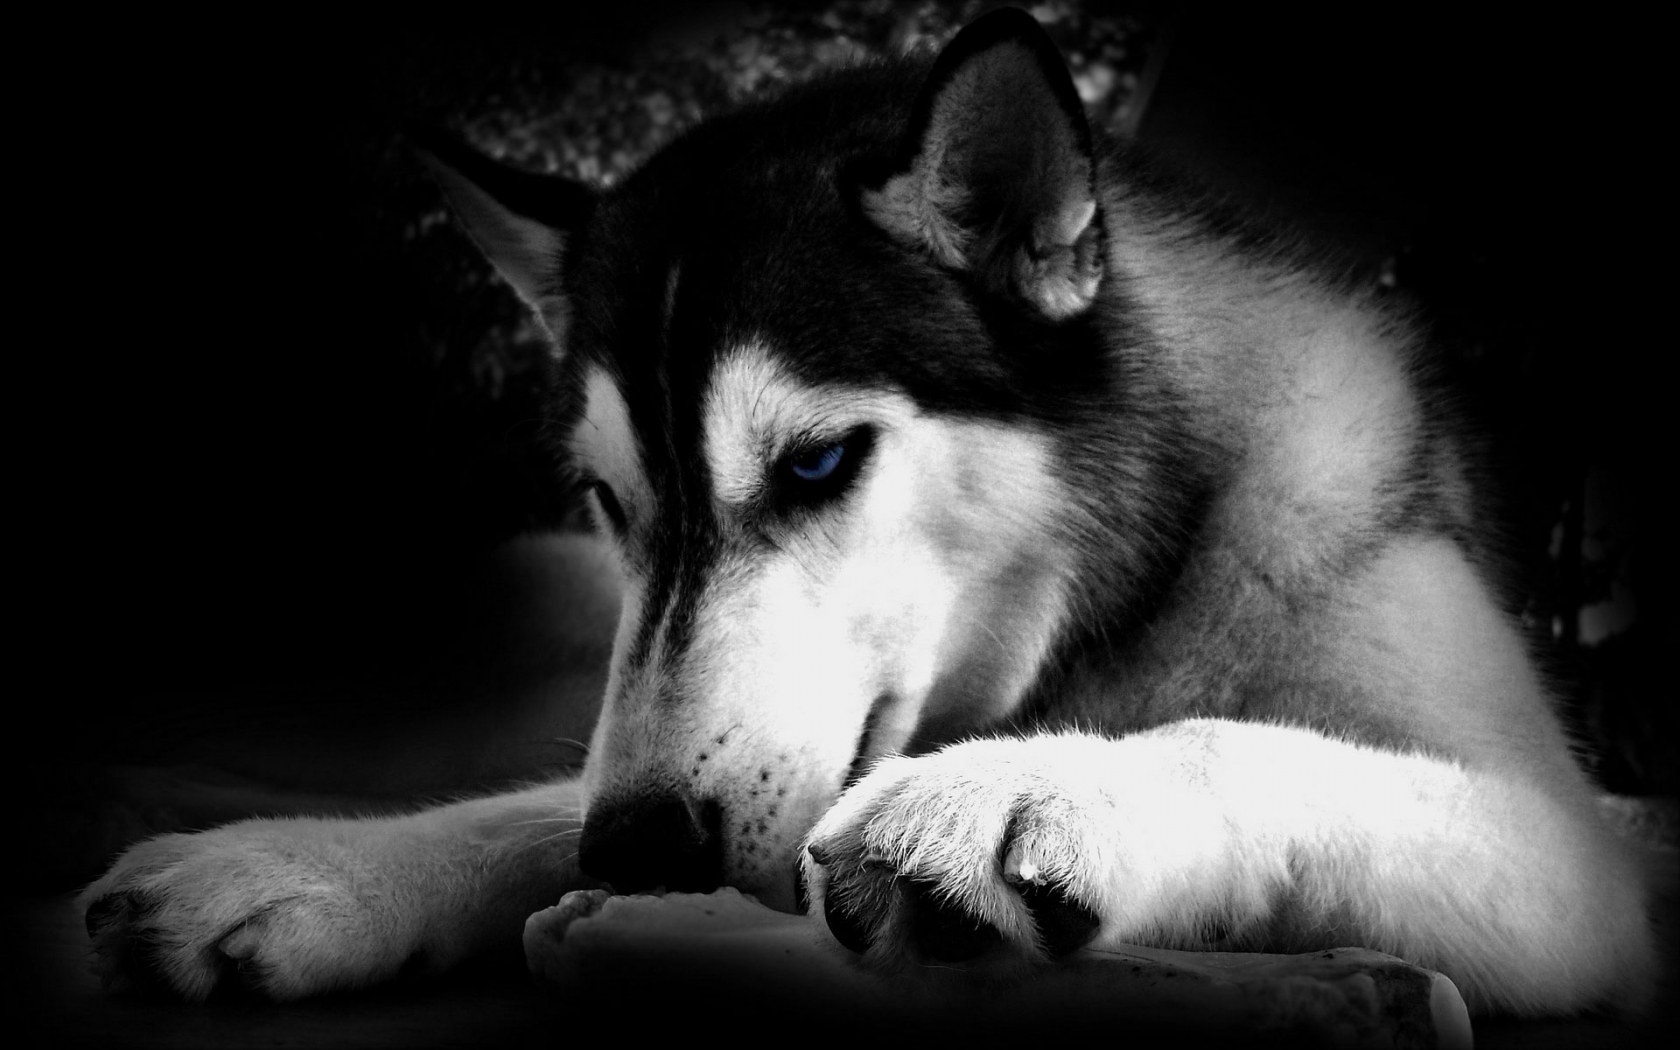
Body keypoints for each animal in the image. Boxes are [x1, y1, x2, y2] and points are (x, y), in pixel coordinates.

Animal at [82, 8, 1654, 1017]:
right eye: (609, 497)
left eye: (818, 462)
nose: (637, 855)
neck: (1126, 598)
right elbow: (539, 804)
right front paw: (304, 861)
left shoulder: (1580, 860)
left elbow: (1264, 747)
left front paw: (1042, 789)